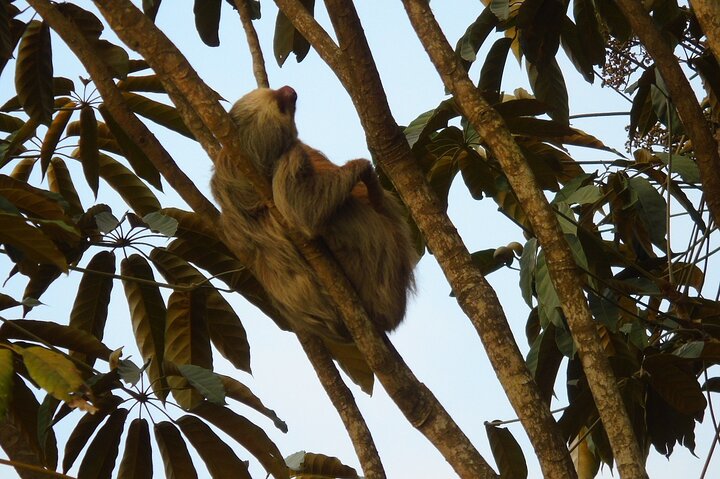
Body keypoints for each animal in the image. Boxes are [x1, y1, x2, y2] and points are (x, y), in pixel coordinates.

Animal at [211, 86, 417, 342]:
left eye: (273, 92)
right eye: (281, 107)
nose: (289, 91)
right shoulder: (293, 155)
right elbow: (304, 212)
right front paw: (362, 167)